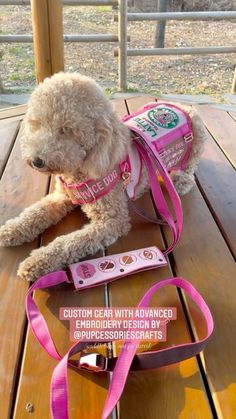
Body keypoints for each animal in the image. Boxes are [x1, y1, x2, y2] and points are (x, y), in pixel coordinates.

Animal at [0, 72, 205, 282]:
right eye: (37, 124)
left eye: (66, 129)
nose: (36, 161)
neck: (79, 171)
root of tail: (181, 106)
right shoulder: (61, 196)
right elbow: (36, 212)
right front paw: (12, 229)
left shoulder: (112, 221)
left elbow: (70, 243)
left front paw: (37, 261)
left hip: (196, 140)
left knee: (190, 167)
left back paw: (181, 180)